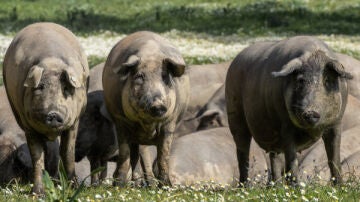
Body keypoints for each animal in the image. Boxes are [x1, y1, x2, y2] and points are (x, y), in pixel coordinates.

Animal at [2, 22, 89, 194]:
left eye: (65, 88)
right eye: (40, 87)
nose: (53, 113)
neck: (51, 63)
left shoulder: (75, 121)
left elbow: (68, 152)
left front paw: (74, 188)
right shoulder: (27, 125)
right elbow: (37, 156)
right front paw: (37, 193)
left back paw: (58, 182)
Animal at [102, 30, 190, 187]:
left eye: (165, 77)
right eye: (139, 76)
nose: (158, 104)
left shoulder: (170, 122)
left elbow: (163, 155)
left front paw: (167, 186)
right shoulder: (120, 120)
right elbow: (124, 153)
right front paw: (118, 185)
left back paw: (149, 184)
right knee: (135, 154)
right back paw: (135, 184)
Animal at [226, 36, 352, 185]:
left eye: (327, 81)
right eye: (300, 81)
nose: (310, 112)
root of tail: (235, 61)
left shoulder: (337, 123)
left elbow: (334, 158)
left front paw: (339, 186)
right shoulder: (285, 125)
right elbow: (292, 159)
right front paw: (296, 187)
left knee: (274, 156)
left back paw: (275, 186)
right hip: (234, 115)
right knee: (243, 153)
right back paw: (245, 186)